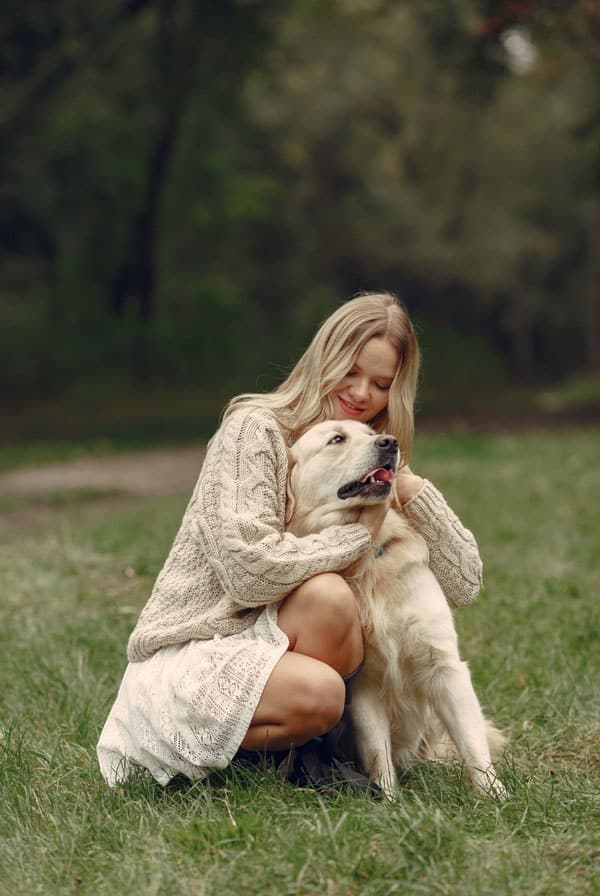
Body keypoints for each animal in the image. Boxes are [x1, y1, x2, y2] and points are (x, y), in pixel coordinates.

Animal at [286, 420, 506, 800]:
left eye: (371, 432)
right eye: (337, 438)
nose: (390, 443)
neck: (369, 559)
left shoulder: (444, 666)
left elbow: (472, 742)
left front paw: (495, 796)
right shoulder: (365, 687)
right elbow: (378, 754)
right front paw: (388, 801)